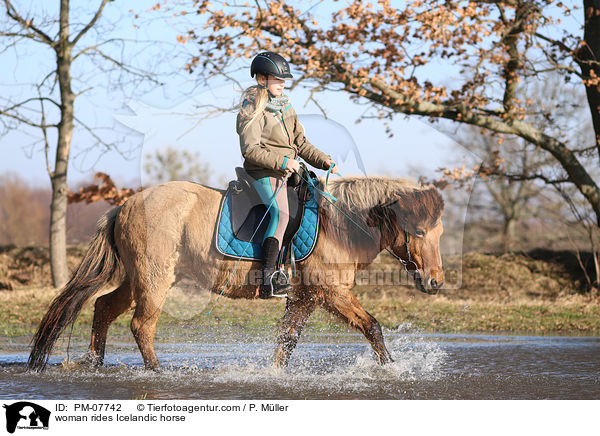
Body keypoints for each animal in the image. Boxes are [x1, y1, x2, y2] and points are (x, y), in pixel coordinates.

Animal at [28, 176, 442, 372]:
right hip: (154, 278)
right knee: (141, 325)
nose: (435, 282)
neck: (338, 225)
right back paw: (156, 371)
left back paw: (95, 363)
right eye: (420, 233)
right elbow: (372, 326)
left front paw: (274, 374)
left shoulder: (306, 298)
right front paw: (392, 370)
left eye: (439, 233)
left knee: (103, 309)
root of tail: (125, 205)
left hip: (135, 279)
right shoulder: (331, 293)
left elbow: (286, 340)